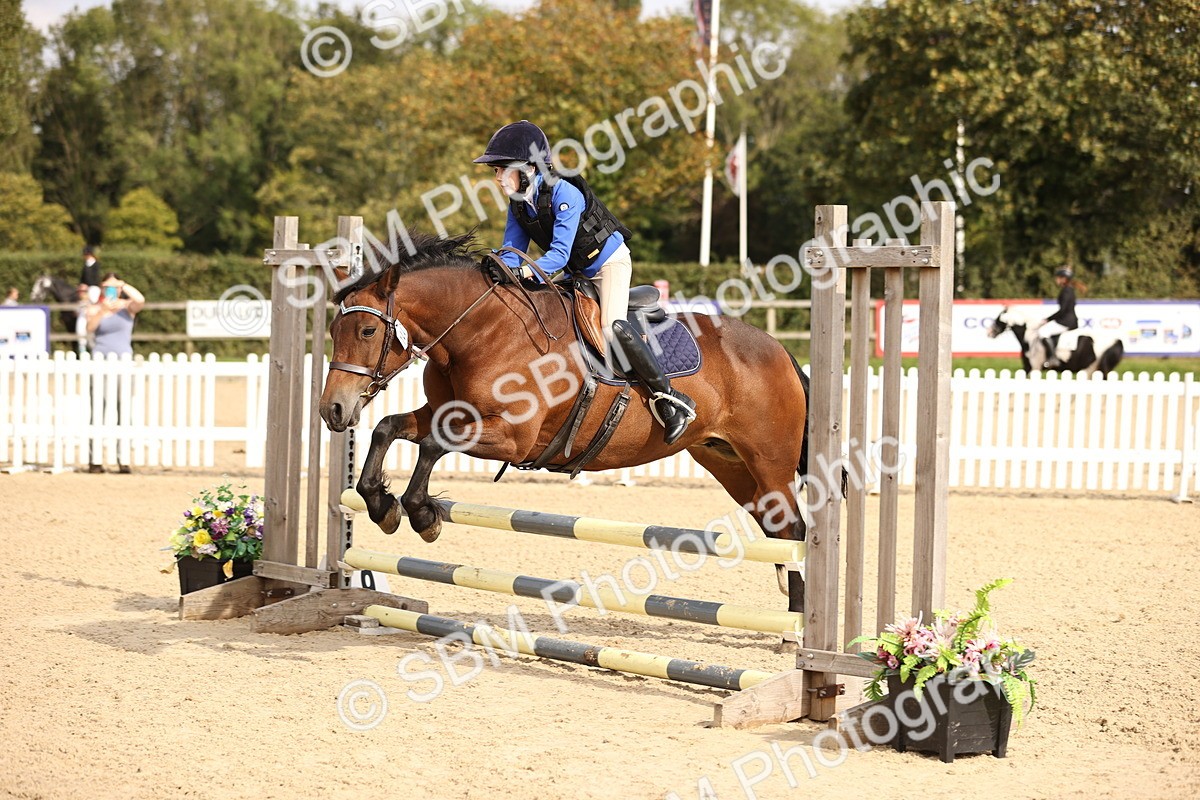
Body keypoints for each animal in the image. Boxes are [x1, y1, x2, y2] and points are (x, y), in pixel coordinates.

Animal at [317, 233, 812, 611]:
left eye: (367, 332)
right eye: (333, 332)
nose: (332, 410)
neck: (481, 332)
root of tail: (779, 349)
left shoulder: (511, 437)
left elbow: (434, 445)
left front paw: (422, 514)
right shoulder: (448, 412)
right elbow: (389, 427)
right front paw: (382, 505)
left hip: (770, 462)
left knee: (794, 529)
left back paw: (796, 629)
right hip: (729, 463)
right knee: (777, 528)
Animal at [987, 305, 1124, 377]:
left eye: (998, 318)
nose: (990, 332)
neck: (1030, 338)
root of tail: (1116, 340)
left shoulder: (1034, 368)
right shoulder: (1027, 368)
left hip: (1092, 369)